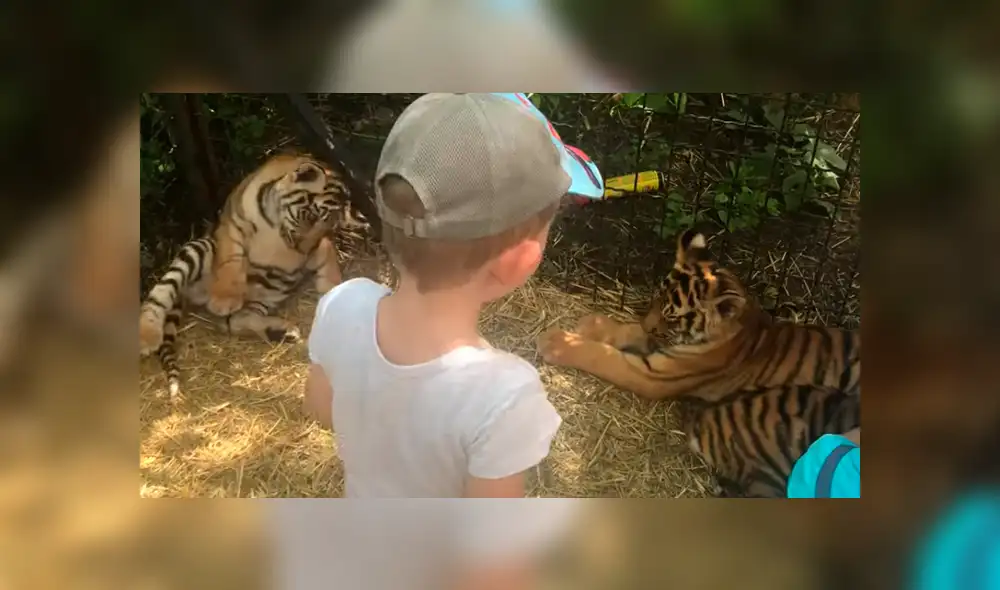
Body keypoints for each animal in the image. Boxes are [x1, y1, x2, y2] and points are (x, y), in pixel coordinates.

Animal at [139, 153, 349, 398]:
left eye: (328, 226)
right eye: (313, 216)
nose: (303, 250)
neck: (277, 226)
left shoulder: (316, 248)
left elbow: (328, 256)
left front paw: (334, 290)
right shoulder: (233, 226)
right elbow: (231, 259)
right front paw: (224, 299)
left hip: (272, 288)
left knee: (236, 321)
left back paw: (283, 331)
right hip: (199, 249)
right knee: (160, 295)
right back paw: (147, 336)